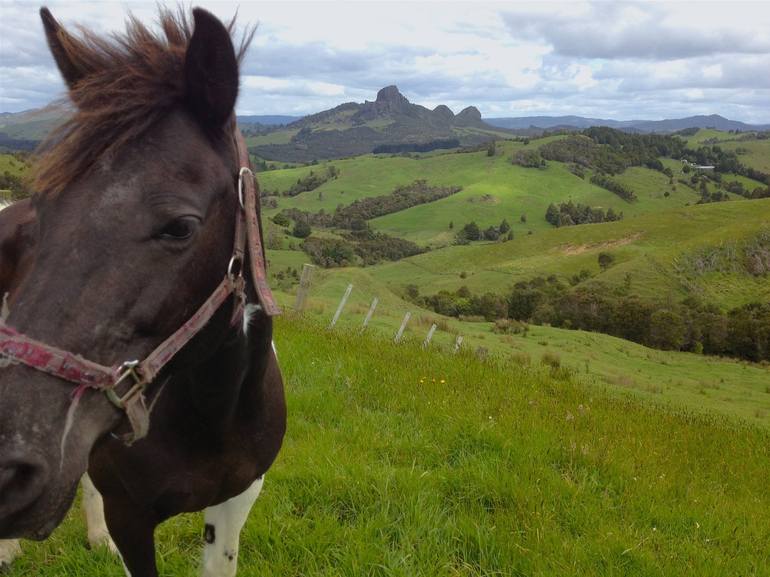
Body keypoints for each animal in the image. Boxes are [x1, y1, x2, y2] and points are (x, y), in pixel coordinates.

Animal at [0, 7, 284, 576]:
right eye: (43, 209)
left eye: (180, 226)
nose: (6, 470)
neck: (211, 415)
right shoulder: (130, 514)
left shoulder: (237, 501)